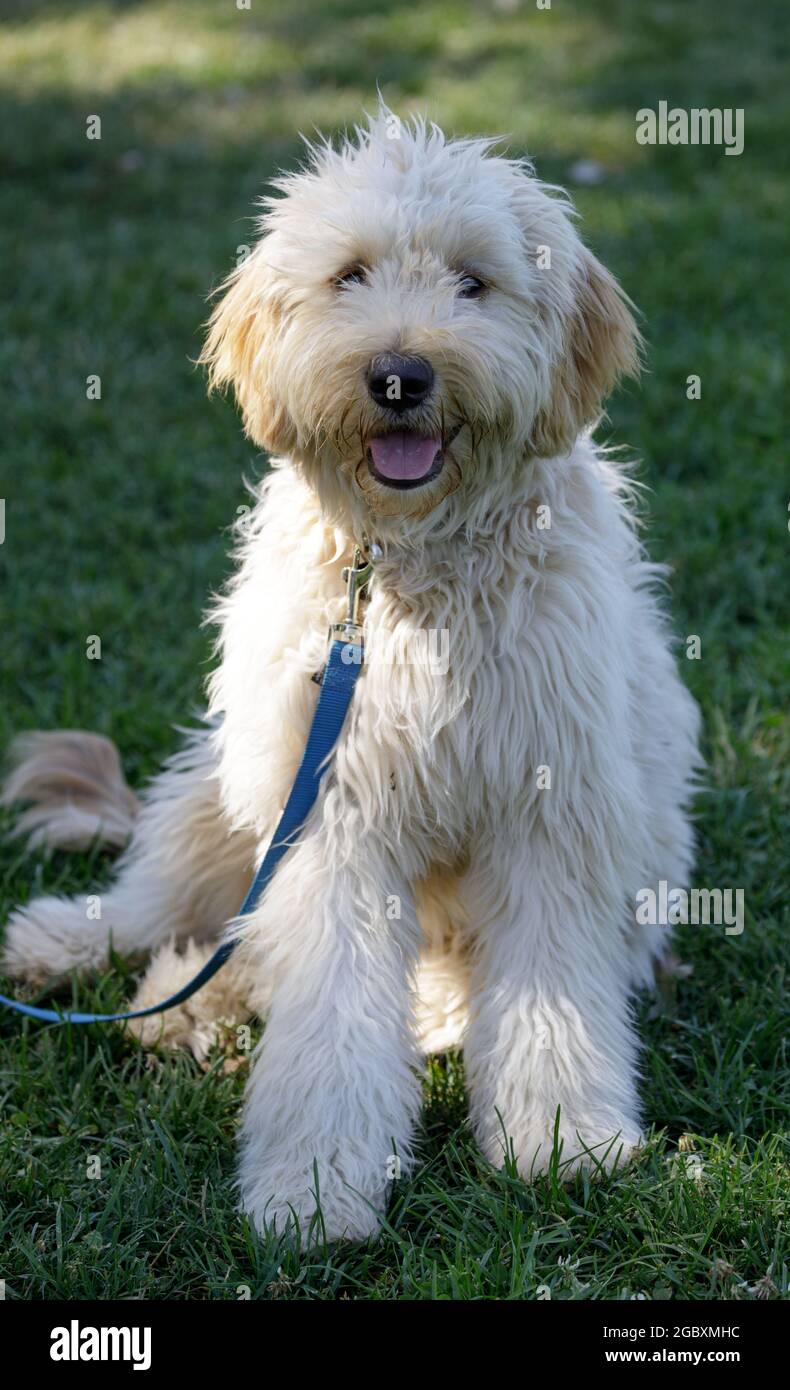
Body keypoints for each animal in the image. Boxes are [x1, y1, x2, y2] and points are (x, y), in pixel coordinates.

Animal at [3, 108, 700, 1239]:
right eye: (350, 276)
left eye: (472, 281)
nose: (400, 377)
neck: (409, 571)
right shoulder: (327, 817)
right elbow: (327, 1008)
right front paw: (316, 1185)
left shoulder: (551, 806)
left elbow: (549, 990)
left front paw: (559, 1137)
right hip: (227, 788)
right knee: (156, 907)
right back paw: (75, 949)